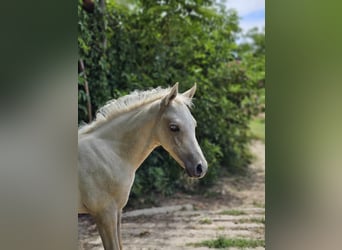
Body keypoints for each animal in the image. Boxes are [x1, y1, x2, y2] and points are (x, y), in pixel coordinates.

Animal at [78, 83, 207, 249]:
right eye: (174, 127)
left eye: (194, 124)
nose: (200, 167)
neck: (109, 152)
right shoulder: (104, 214)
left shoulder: (117, 212)